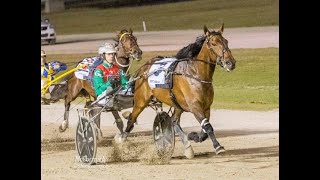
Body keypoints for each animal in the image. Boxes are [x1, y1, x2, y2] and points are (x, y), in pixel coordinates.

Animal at [114, 24, 235, 158]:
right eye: (213, 43)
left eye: (226, 41)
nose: (230, 63)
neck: (195, 73)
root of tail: (143, 68)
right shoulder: (195, 106)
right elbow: (207, 126)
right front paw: (218, 147)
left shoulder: (206, 107)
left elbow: (204, 130)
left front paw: (194, 136)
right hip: (141, 101)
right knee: (131, 120)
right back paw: (121, 140)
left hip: (177, 104)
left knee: (174, 121)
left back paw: (187, 148)